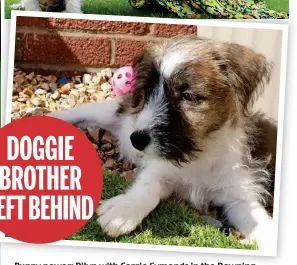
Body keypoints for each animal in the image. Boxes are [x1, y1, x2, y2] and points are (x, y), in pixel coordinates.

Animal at [49, 37, 276, 250]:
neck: (198, 155)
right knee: (82, 111)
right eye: (149, 92)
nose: (135, 139)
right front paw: (125, 210)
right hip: (111, 112)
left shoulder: (238, 195)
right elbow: (147, 187)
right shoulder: (161, 169)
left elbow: (259, 220)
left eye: (188, 96)